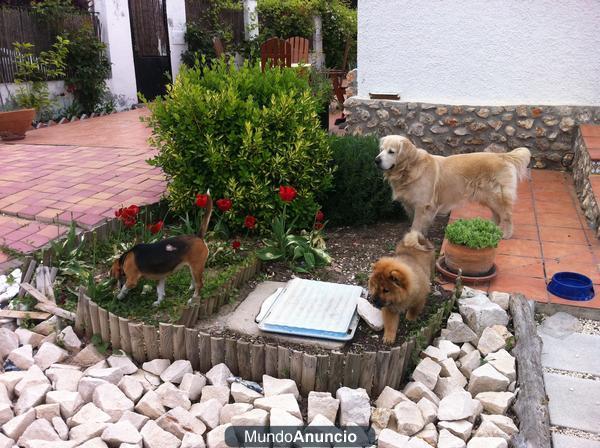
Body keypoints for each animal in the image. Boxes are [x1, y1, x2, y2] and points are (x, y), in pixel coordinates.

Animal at [378, 135, 532, 238]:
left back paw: (506, 234)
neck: (409, 168)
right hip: (488, 198)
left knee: (507, 215)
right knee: (498, 215)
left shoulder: (422, 205)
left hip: (497, 196)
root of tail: (503, 156)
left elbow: (416, 225)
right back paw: (490, 228)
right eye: (381, 149)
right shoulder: (411, 205)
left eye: (391, 151)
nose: (376, 160)